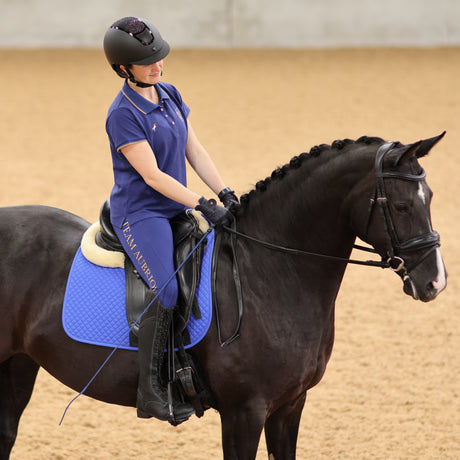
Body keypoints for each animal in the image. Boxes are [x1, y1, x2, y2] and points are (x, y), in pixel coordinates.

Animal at [0, 135, 446, 458]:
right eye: (402, 206)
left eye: (430, 198)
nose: (435, 283)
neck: (268, 271)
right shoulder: (243, 412)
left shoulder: (290, 405)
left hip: (19, 364)